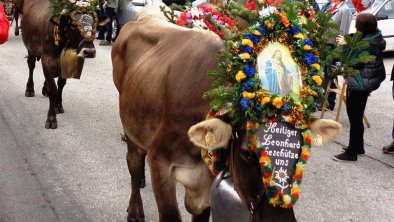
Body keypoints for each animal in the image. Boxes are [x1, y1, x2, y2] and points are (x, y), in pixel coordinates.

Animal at [19, 0, 96, 128]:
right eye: (73, 25)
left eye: (95, 24)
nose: (89, 52)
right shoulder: (46, 59)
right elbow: (53, 89)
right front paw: (51, 119)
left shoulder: (64, 62)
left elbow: (61, 84)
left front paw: (58, 105)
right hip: (30, 48)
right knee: (31, 65)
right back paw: (29, 89)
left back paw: (44, 89)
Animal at [111, 5, 342, 222]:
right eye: (246, 153)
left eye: (301, 150)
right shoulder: (160, 163)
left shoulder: (205, 187)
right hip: (130, 125)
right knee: (133, 162)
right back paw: (135, 208)